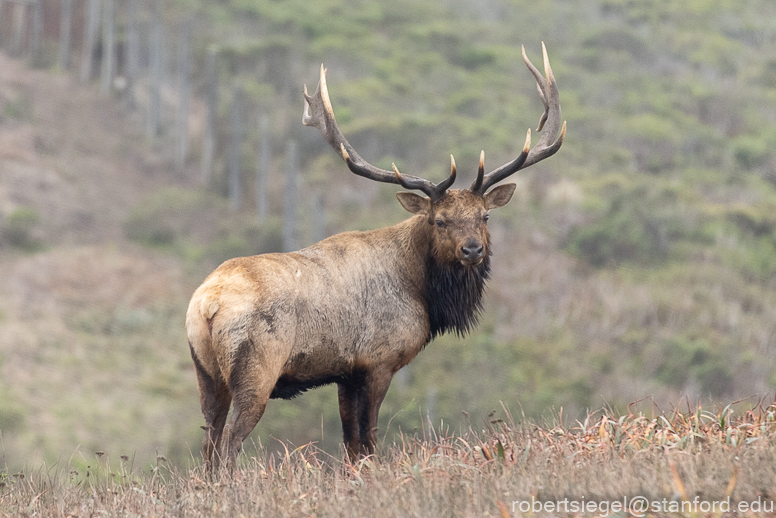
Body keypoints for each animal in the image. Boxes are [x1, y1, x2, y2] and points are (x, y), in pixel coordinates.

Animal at [188, 41, 564, 472]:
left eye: (484, 216)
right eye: (439, 220)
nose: (472, 249)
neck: (422, 292)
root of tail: (207, 303)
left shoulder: (346, 373)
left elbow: (351, 444)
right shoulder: (379, 361)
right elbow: (368, 438)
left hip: (206, 374)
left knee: (208, 441)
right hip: (256, 369)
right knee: (229, 442)